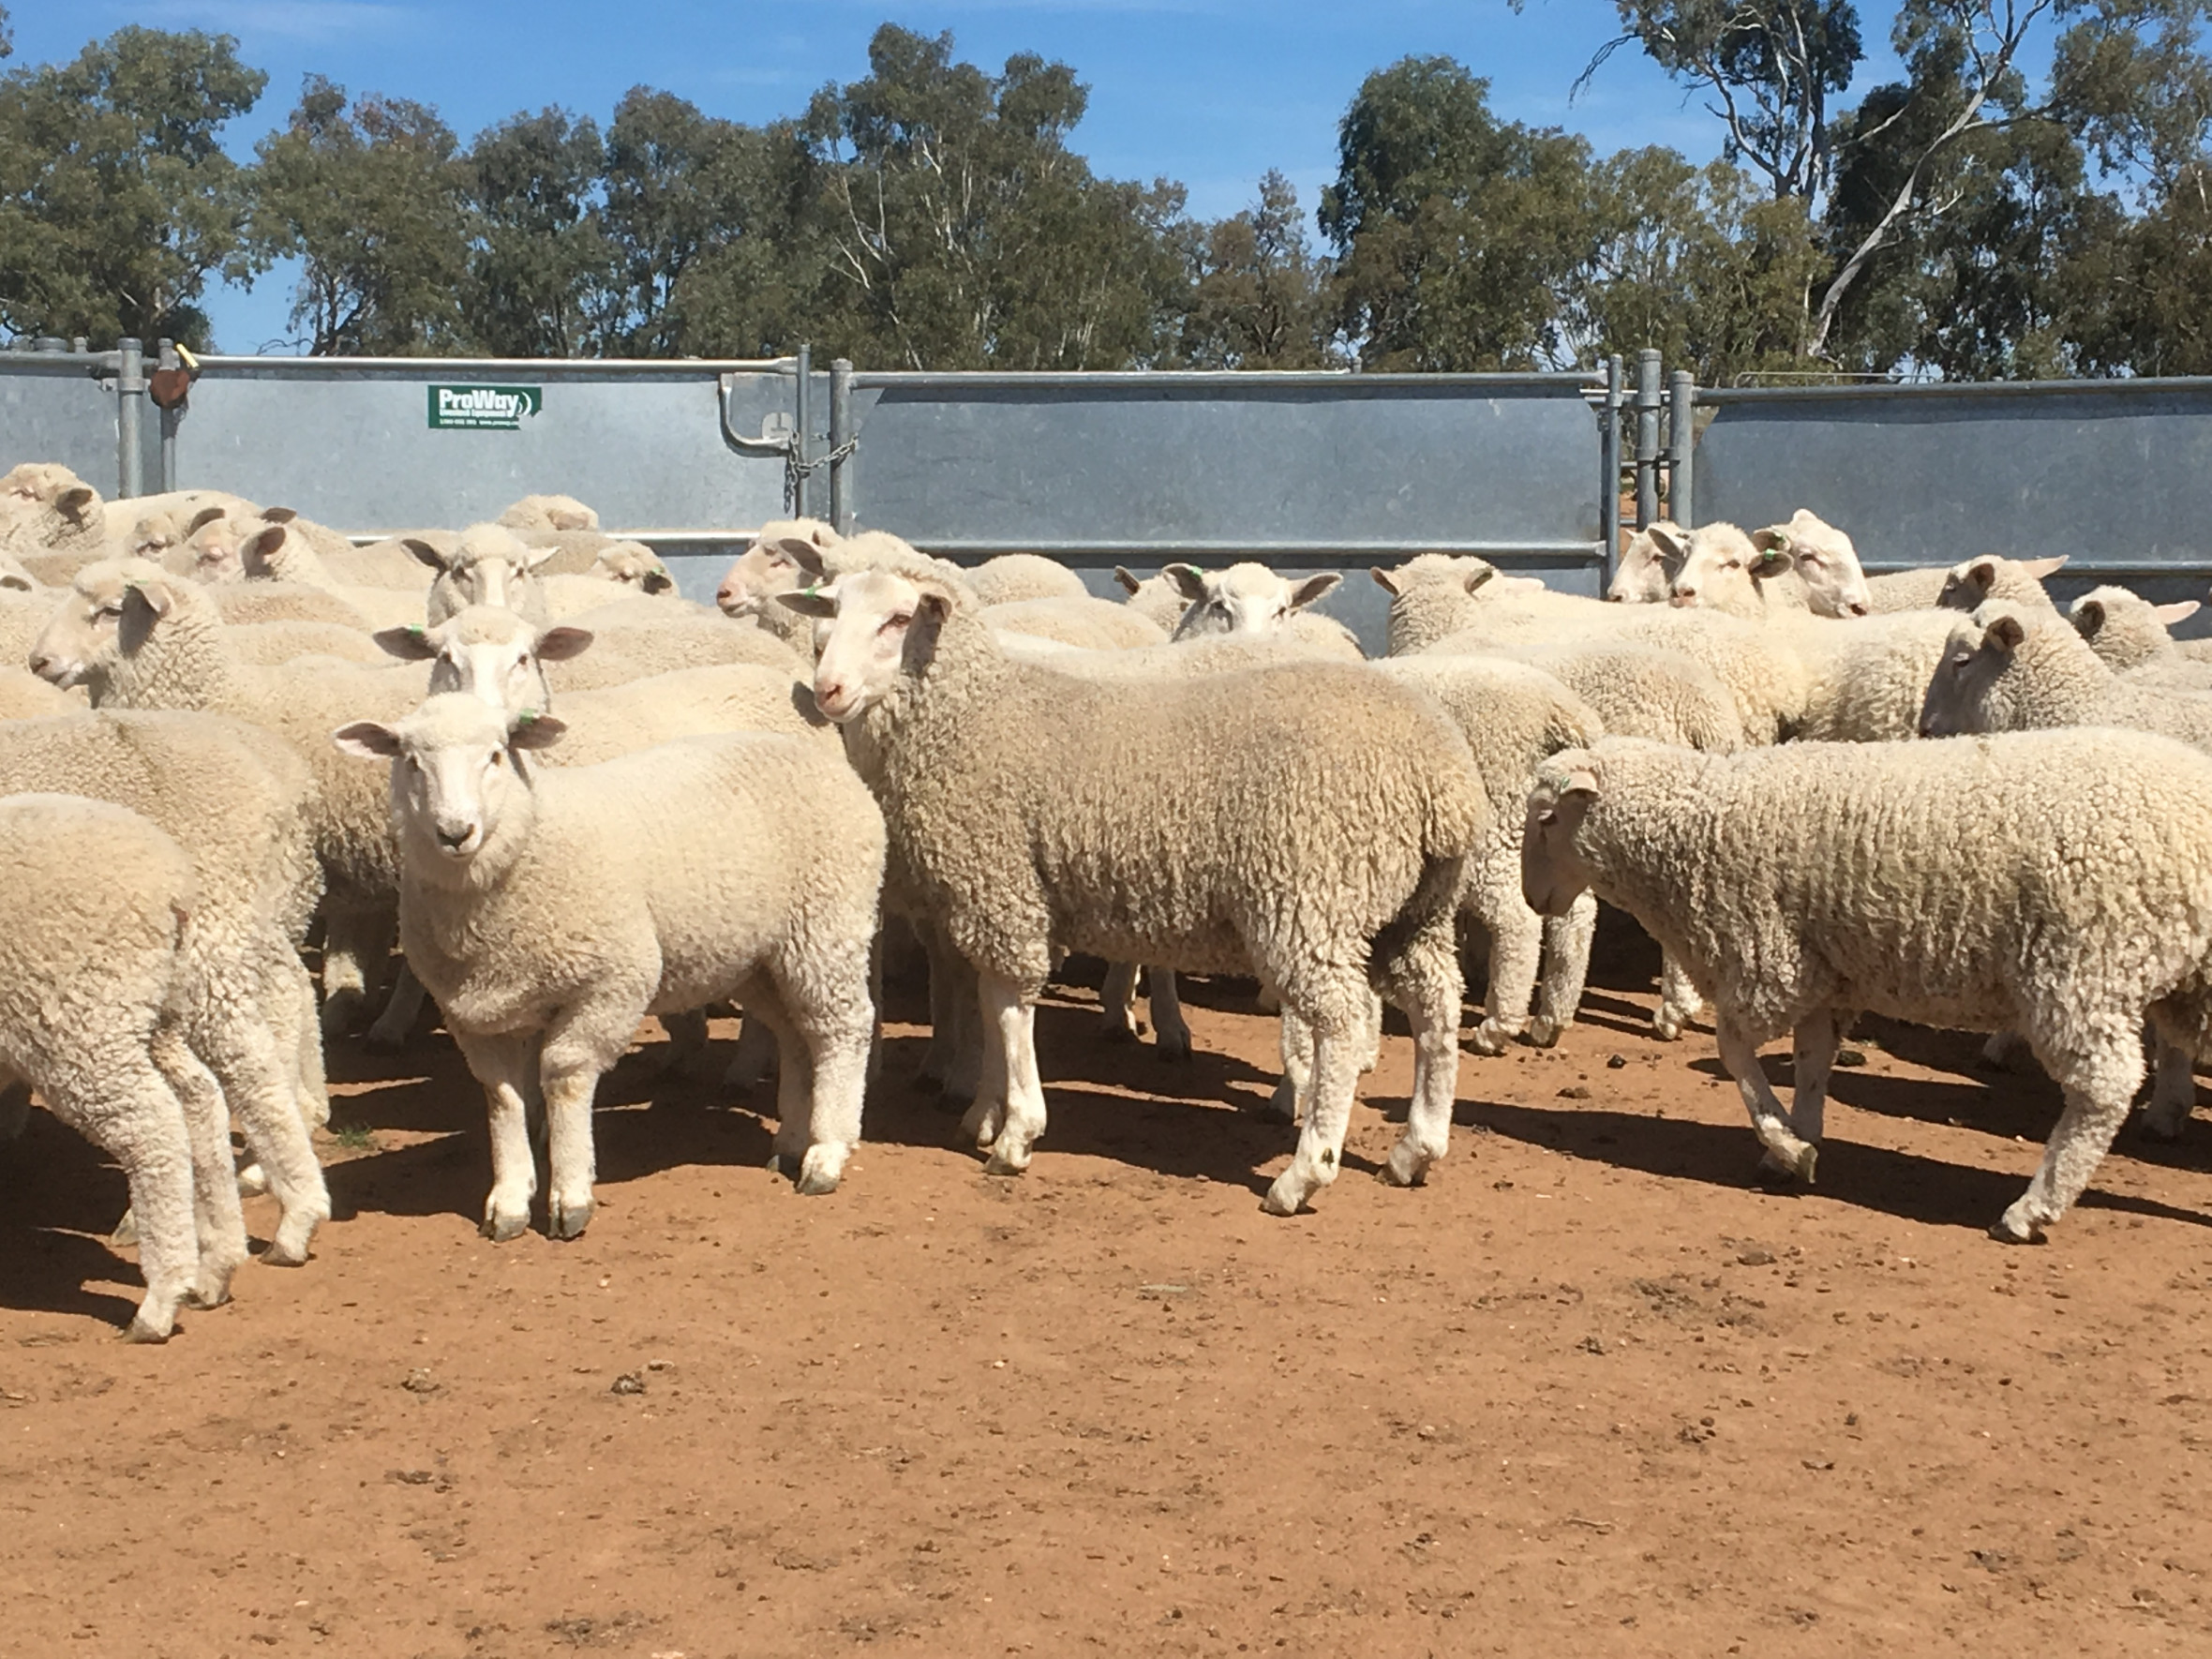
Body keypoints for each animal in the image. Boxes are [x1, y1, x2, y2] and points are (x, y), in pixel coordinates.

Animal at [0, 794, 249, 1340]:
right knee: (199, 1102)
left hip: (82, 1020)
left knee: (151, 1127)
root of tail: (174, 884)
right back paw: (215, 1269)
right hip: (157, 1012)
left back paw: (160, 1303)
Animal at [335, 696, 885, 1235]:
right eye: (411, 761)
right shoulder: (474, 1012)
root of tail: (838, 770)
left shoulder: (611, 981)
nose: (454, 832)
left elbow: (565, 1074)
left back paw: (827, 1153)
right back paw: (790, 1142)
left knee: (842, 1028)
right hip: (760, 959)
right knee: (797, 1035)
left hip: (827, 924)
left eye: (496, 755)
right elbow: (502, 1095)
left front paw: (570, 1195)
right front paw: (509, 1200)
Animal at [785, 565, 1488, 1214]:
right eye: (832, 611)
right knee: (1436, 1005)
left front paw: (1016, 1134)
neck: (973, 711)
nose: (827, 691)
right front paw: (985, 1111)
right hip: (1413, 910)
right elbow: (989, 1004)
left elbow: (1008, 1008)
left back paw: (1304, 1172)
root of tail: (1442, 778)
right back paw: (1416, 1148)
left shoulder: (1001, 886)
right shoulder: (996, 893)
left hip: (1309, 897)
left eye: (899, 619)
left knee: (1341, 1024)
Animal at [1522, 731, 2212, 1241]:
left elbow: (1735, 1054)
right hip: (2185, 979)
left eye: (1548, 818)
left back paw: (2032, 1208)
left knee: (2102, 1089)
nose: (1534, 899)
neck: (1695, 824)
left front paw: (1786, 1144)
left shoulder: (1769, 960)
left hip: (2080, 964)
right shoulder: (1823, 973)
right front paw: (1797, 1142)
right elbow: (1811, 1063)